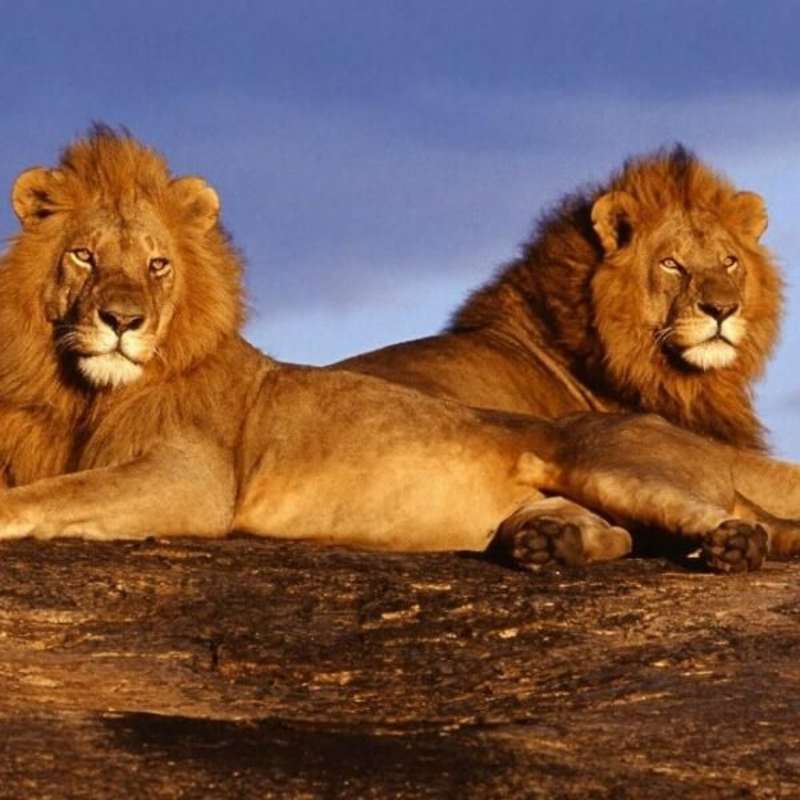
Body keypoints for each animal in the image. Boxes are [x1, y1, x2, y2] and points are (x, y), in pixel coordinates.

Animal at [0, 127, 798, 574]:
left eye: (157, 264)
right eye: (83, 256)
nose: (121, 319)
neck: (86, 391)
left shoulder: (192, 478)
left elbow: (59, 493)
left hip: (612, 464)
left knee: (748, 522)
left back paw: (729, 548)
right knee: (617, 532)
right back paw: (548, 546)